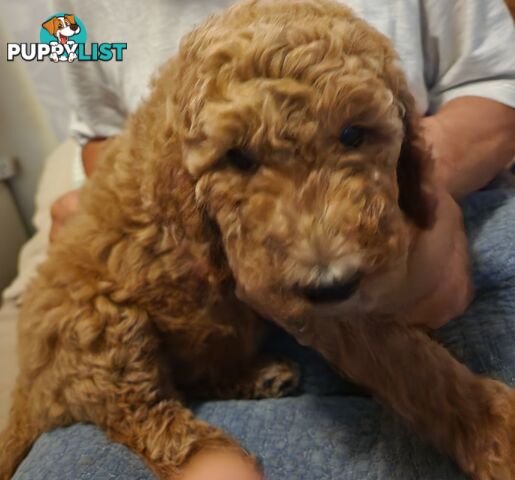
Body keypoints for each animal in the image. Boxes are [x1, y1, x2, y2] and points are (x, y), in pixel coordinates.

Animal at [1, 0, 515, 480]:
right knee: (139, 408)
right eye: (238, 157)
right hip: (97, 325)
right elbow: (410, 363)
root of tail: (28, 388)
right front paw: (492, 430)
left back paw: (257, 376)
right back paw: (212, 457)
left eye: (353, 133)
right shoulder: (288, 293)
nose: (330, 281)